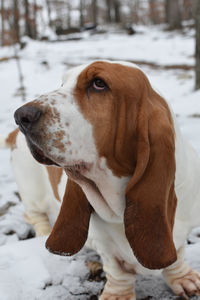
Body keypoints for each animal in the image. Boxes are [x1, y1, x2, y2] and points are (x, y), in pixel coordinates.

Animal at [12, 60, 200, 298]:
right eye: (63, 83)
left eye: (98, 83)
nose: (21, 116)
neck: (119, 210)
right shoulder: (103, 244)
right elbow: (116, 268)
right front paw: (117, 294)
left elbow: (177, 254)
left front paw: (183, 278)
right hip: (31, 191)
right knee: (37, 216)